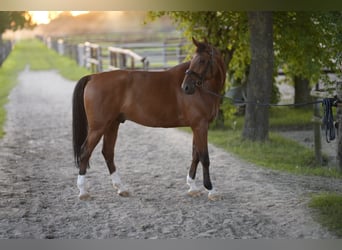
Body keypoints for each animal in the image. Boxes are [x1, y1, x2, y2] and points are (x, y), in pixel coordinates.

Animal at [72, 37, 227, 201]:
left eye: (202, 60)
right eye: (194, 60)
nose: (186, 87)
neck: (204, 90)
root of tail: (93, 77)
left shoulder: (198, 126)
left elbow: (195, 155)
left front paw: (193, 187)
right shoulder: (200, 125)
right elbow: (204, 157)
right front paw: (212, 190)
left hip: (112, 125)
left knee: (108, 152)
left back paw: (121, 188)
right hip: (98, 128)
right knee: (85, 153)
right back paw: (83, 191)